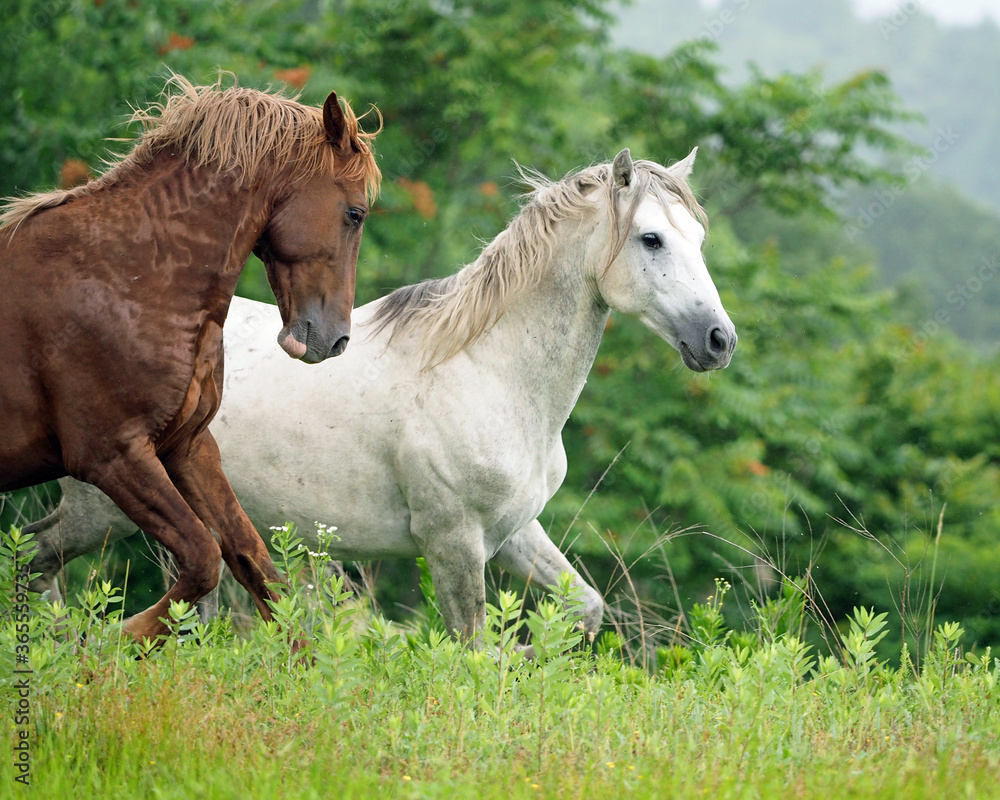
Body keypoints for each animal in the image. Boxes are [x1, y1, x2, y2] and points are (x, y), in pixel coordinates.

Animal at [1, 74, 381, 643]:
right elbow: (204, 559)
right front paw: (113, 643)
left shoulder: (187, 447)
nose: (333, 340)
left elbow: (254, 563)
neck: (129, 275)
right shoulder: (114, 456)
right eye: (354, 213)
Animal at [26, 148, 735, 642]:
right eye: (650, 238)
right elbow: (471, 646)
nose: (719, 340)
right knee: (37, 558)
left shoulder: (511, 531)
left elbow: (583, 610)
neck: (488, 372)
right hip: (103, 508)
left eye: (699, 238)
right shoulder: (453, 542)